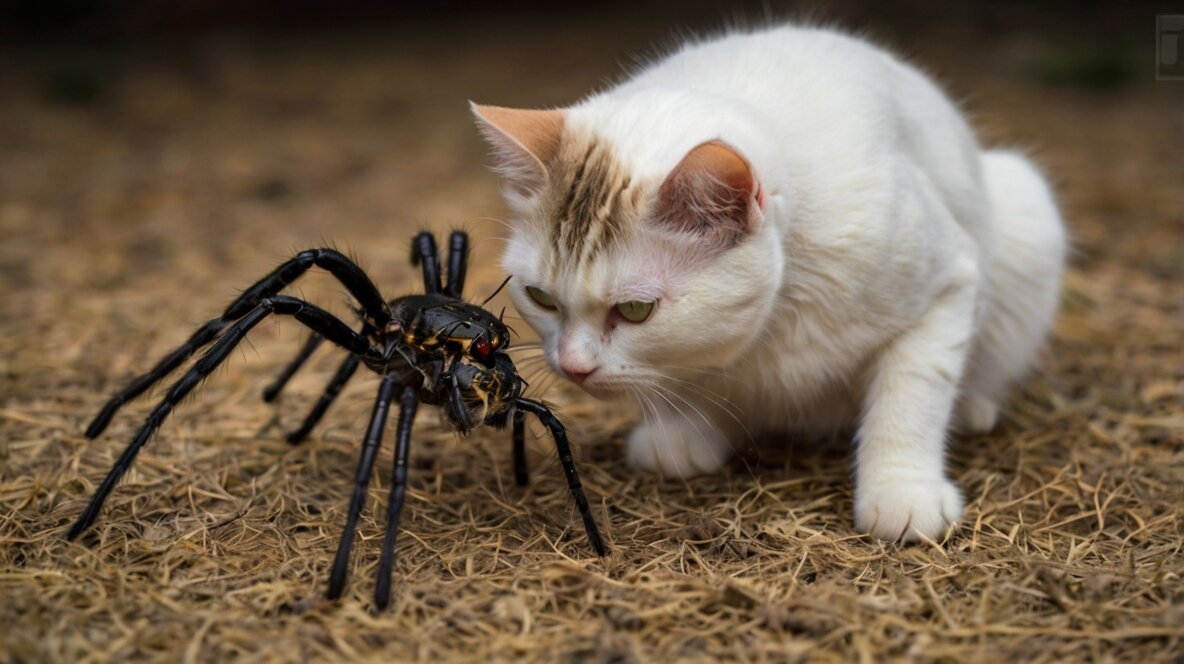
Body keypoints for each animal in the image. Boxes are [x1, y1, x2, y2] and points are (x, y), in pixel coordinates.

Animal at [468, 25, 1065, 542]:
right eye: (541, 298)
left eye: (636, 311)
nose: (573, 367)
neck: (776, 315)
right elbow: (684, 377)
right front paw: (682, 433)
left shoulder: (947, 282)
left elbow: (911, 394)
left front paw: (902, 491)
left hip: (1026, 209)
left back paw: (973, 406)